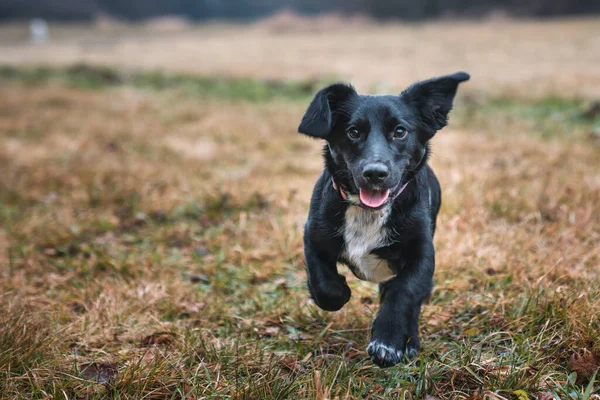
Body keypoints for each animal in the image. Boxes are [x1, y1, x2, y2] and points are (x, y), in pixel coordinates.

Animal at [298, 71, 472, 366]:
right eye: (353, 132)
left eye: (400, 131)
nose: (375, 173)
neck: (368, 212)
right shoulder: (313, 236)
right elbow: (324, 285)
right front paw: (340, 292)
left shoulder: (422, 256)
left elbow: (403, 293)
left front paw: (388, 341)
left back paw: (411, 341)